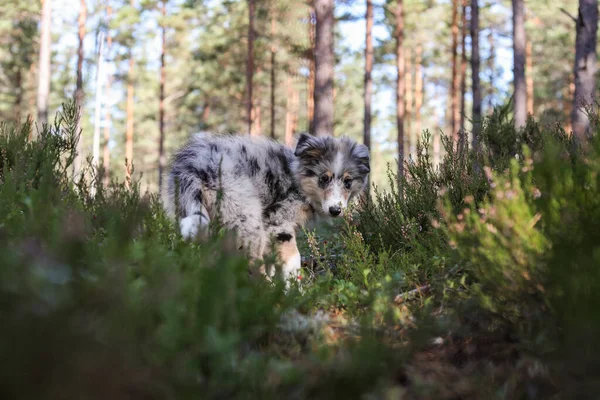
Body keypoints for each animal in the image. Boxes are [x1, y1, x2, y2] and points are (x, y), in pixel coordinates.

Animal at [164, 133, 370, 282]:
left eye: (348, 182)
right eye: (324, 178)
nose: (336, 211)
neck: (298, 180)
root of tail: (194, 165)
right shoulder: (278, 223)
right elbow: (292, 259)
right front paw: (293, 290)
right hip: (247, 218)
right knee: (251, 261)